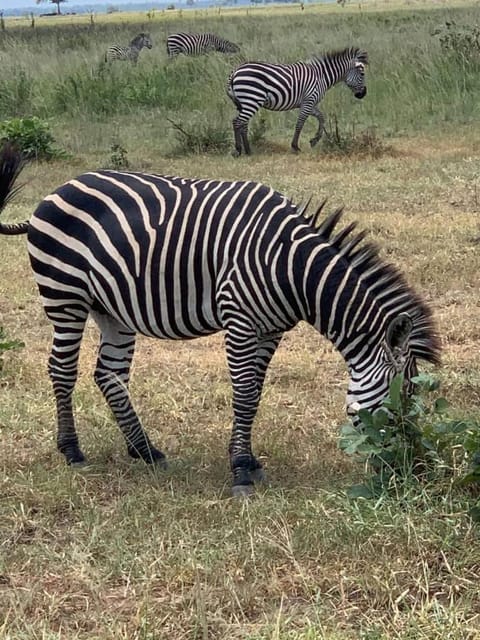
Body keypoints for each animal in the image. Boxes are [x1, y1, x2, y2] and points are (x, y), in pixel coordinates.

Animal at [0, 144, 442, 496]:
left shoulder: (271, 330)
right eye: (402, 398)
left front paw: (248, 459)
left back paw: (145, 451)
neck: (294, 268)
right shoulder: (240, 321)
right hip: (65, 296)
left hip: (112, 308)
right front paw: (241, 471)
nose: (412, 469)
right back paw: (73, 451)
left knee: (109, 375)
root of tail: (56, 191)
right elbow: (244, 393)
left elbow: (256, 393)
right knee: (62, 369)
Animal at [227, 47, 370, 156]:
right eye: (362, 74)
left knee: (242, 124)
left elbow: (321, 117)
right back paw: (240, 150)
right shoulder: (308, 101)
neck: (321, 76)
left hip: (243, 103)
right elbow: (300, 124)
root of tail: (235, 72)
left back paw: (247, 150)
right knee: (237, 122)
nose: (363, 94)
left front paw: (314, 140)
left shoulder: (309, 102)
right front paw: (295, 146)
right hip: (252, 99)